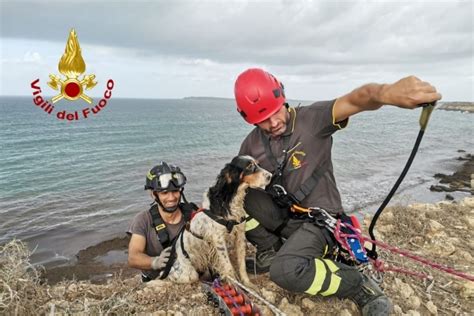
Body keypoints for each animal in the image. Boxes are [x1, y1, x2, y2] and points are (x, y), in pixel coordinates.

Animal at [166, 156, 270, 286]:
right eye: (249, 166)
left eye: (258, 164)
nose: (270, 176)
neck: (229, 200)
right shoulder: (219, 240)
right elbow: (229, 267)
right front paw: (236, 286)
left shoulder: (240, 235)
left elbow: (242, 265)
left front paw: (247, 284)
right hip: (189, 274)